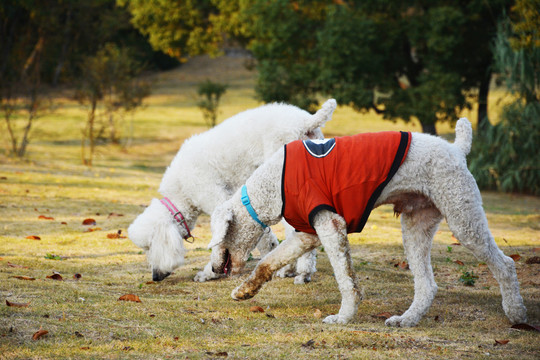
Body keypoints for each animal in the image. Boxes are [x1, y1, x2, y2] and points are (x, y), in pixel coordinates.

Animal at [128, 98, 336, 282]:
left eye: (149, 247)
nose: (154, 277)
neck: (181, 192)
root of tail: (305, 122)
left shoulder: (215, 196)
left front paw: (210, 273)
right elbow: (264, 237)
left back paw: (301, 271)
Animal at [208, 118, 528, 326]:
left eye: (218, 242)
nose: (212, 269)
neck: (274, 183)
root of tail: (457, 149)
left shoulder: (331, 227)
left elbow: (346, 281)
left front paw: (343, 317)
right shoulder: (307, 233)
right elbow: (267, 262)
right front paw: (245, 291)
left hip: (464, 218)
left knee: (505, 265)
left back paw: (516, 314)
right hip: (416, 226)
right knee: (427, 285)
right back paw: (406, 320)